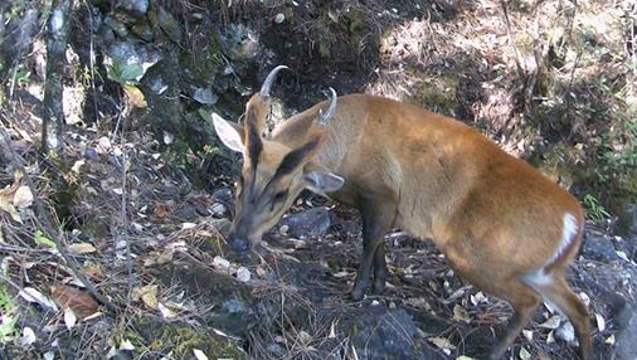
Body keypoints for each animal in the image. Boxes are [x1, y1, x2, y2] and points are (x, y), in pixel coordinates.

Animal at [211, 66, 588, 358]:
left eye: (282, 192)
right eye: (241, 176)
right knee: (580, 310)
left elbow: (369, 241)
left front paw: (358, 291)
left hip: (478, 256)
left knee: (530, 301)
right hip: (543, 271)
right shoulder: (388, 207)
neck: (346, 147)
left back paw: (492, 352)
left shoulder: (380, 192)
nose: (239, 242)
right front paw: (380, 283)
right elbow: (380, 244)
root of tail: (573, 224)